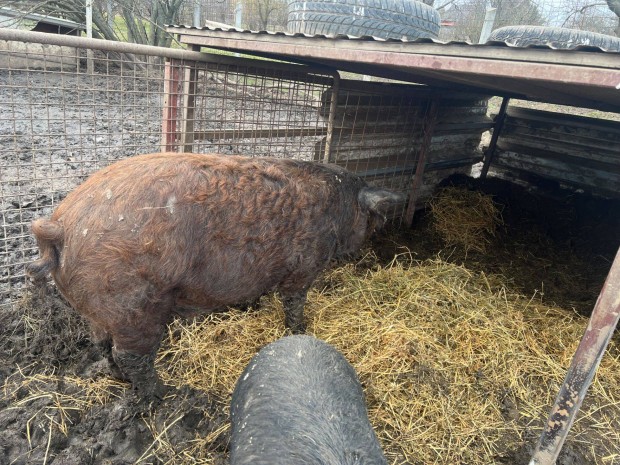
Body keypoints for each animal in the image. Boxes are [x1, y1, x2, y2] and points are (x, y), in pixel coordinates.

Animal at [26, 152, 402, 400]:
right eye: (371, 220)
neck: (338, 207)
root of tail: (59, 225)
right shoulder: (304, 264)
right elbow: (294, 301)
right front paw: (302, 329)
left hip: (101, 309)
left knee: (102, 344)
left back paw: (120, 379)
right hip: (133, 304)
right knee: (130, 356)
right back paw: (168, 394)